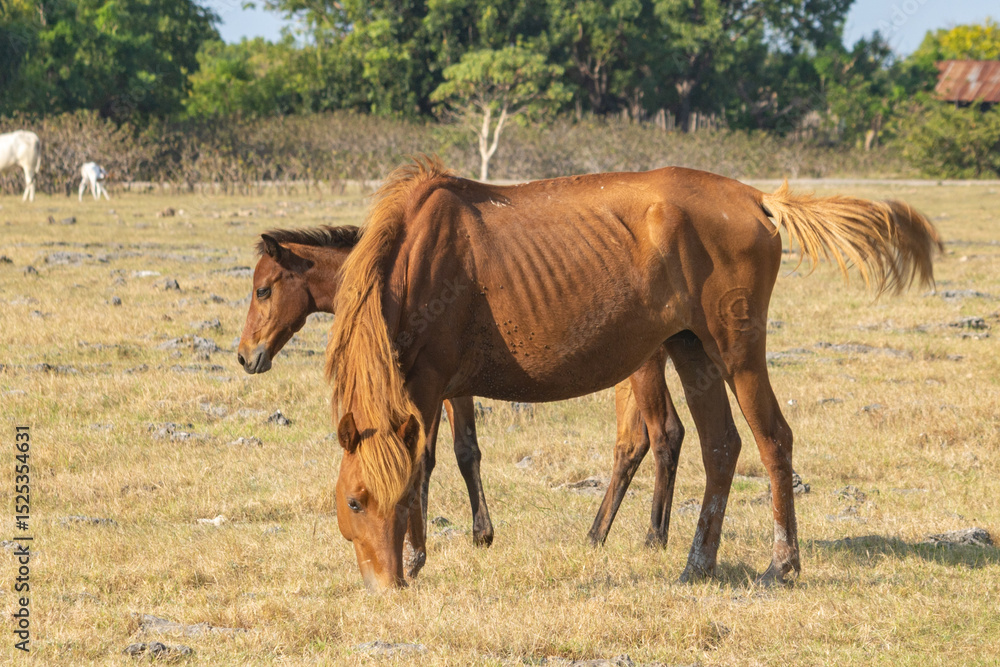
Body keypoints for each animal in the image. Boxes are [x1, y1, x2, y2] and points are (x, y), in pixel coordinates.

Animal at [235, 225, 716, 578]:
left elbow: (433, 456)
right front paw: (475, 534)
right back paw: (595, 536)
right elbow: (459, 451)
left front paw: (429, 546)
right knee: (631, 444)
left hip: (644, 371)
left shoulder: (431, 388)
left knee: (665, 434)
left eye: (263, 290)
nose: (245, 356)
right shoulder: (452, 389)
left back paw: (654, 538)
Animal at [327, 157, 942, 590]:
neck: (419, 257)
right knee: (721, 446)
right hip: (692, 353)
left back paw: (782, 563)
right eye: (355, 503)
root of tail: (755, 198)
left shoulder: (430, 384)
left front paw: (415, 556)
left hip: (737, 354)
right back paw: (698, 563)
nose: (383, 585)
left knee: (773, 441)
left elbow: (423, 466)